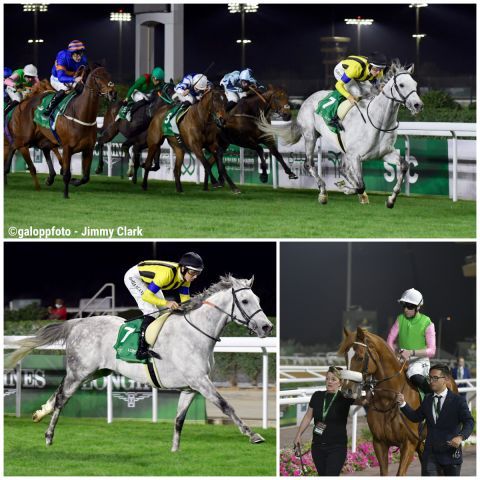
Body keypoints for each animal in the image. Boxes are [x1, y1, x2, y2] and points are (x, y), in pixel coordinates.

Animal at [4, 276, 274, 452]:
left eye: (258, 298)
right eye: (246, 301)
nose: (267, 327)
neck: (195, 333)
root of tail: (78, 322)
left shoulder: (190, 387)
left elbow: (179, 420)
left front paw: (175, 451)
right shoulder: (200, 381)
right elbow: (226, 405)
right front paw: (253, 435)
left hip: (93, 372)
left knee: (59, 392)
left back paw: (40, 413)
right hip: (80, 372)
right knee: (62, 398)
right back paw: (49, 436)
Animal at [258, 61, 424, 207]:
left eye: (415, 84)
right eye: (401, 85)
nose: (418, 105)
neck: (377, 121)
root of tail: (307, 99)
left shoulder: (384, 153)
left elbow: (404, 166)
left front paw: (391, 199)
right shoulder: (355, 156)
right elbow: (361, 185)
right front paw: (346, 188)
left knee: (343, 169)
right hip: (310, 135)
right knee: (309, 164)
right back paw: (323, 192)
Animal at [338, 326, 458, 476]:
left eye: (360, 357)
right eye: (345, 357)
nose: (346, 390)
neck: (388, 401)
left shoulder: (409, 443)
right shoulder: (379, 443)